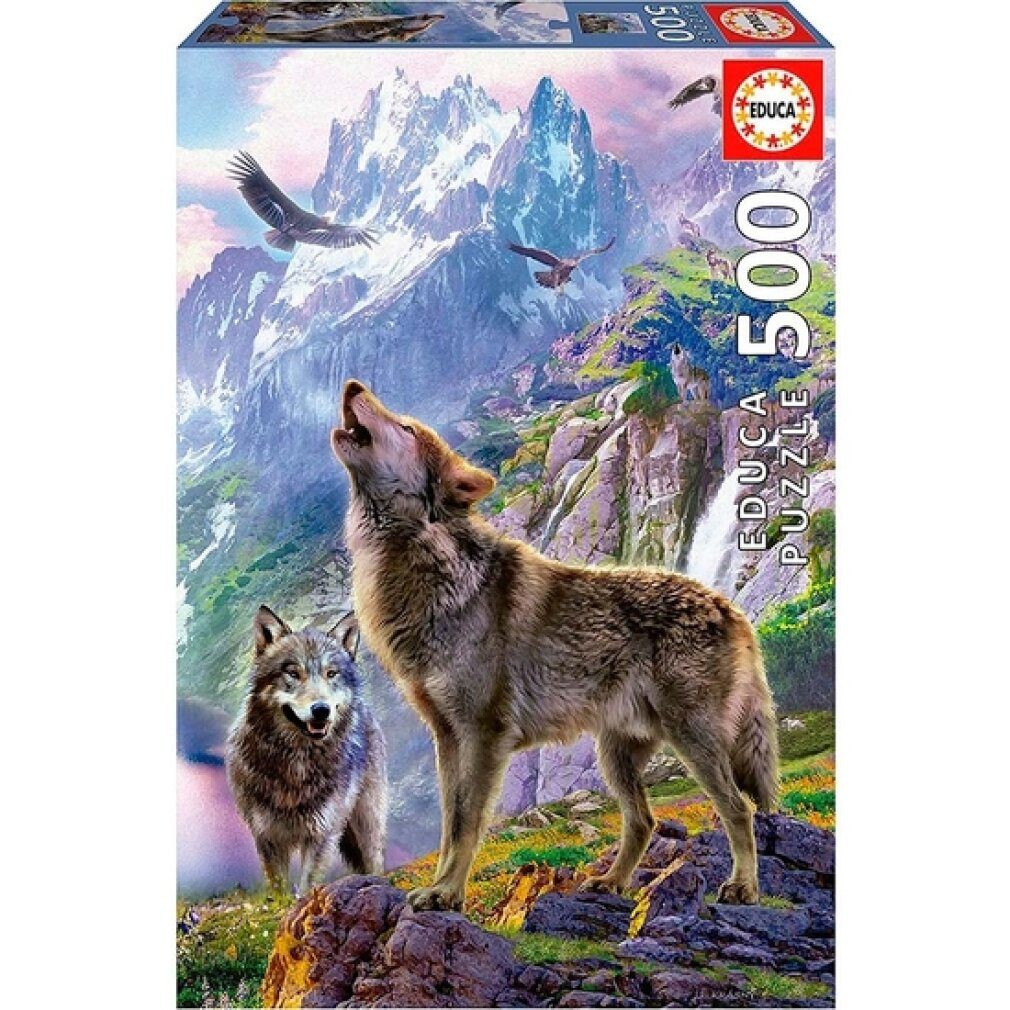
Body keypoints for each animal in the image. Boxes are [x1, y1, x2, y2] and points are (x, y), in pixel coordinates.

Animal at [226, 606, 388, 894]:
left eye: (331, 674)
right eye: (293, 673)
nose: (321, 710)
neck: (297, 763)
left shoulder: (322, 834)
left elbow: (306, 886)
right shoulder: (267, 836)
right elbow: (279, 889)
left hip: (366, 822)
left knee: (375, 860)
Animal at [330, 381, 778, 912]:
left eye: (405, 427)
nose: (353, 386)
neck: (423, 567)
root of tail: (733, 609)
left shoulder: (484, 735)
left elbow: (467, 824)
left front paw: (448, 893)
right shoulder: (447, 737)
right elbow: (448, 826)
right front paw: (440, 888)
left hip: (692, 740)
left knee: (738, 808)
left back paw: (743, 886)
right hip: (616, 755)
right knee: (644, 820)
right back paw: (612, 882)